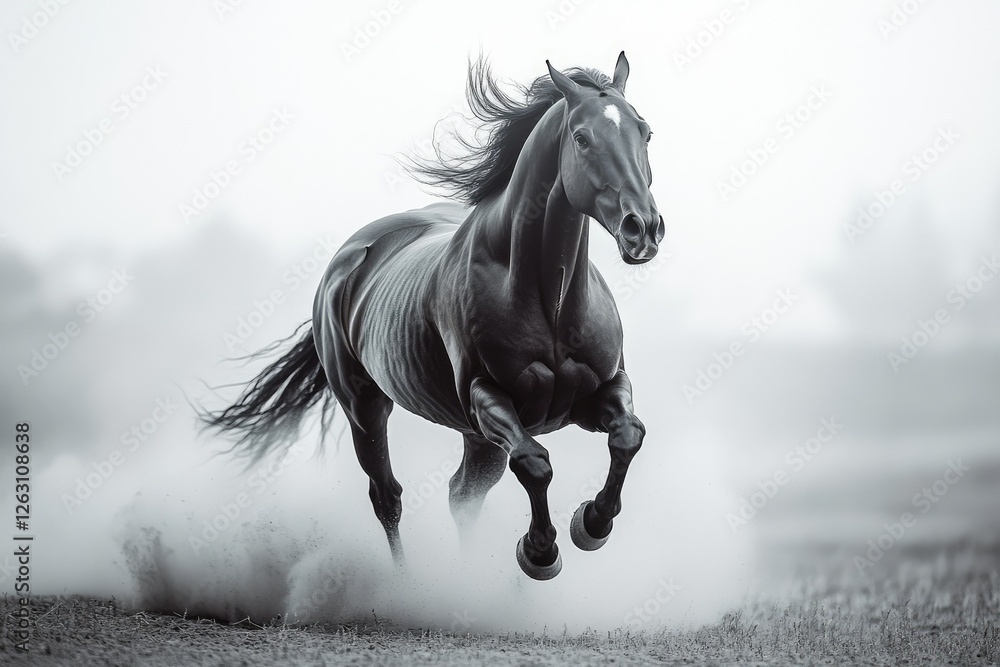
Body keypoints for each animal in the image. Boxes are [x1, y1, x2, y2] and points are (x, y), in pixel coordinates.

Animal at [202, 51, 662, 580]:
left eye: (645, 132)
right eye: (582, 138)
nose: (643, 229)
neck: (550, 299)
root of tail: (350, 257)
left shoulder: (602, 389)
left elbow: (628, 435)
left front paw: (591, 523)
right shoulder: (488, 400)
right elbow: (534, 462)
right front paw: (539, 551)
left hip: (473, 438)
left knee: (461, 495)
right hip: (366, 409)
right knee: (388, 496)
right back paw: (409, 586)